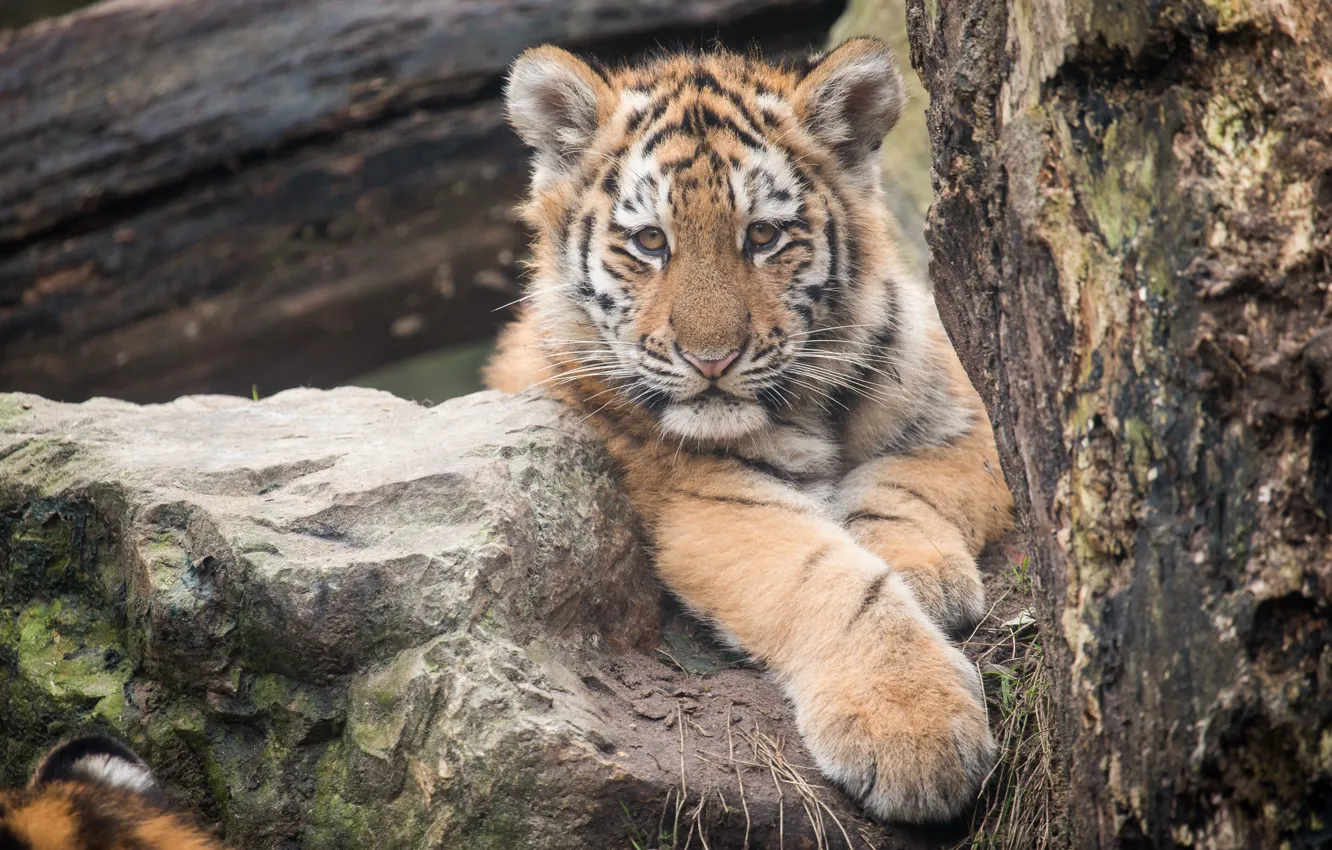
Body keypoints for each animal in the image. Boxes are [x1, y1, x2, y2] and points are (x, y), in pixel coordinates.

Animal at [484, 37, 1014, 823]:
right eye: (650, 242)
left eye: (762, 235)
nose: (711, 359)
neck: (808, 405)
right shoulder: (708, 500)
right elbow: (830, 581)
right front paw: (913, 727)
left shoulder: (967, 413)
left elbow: (905, 485)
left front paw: (922, 571)